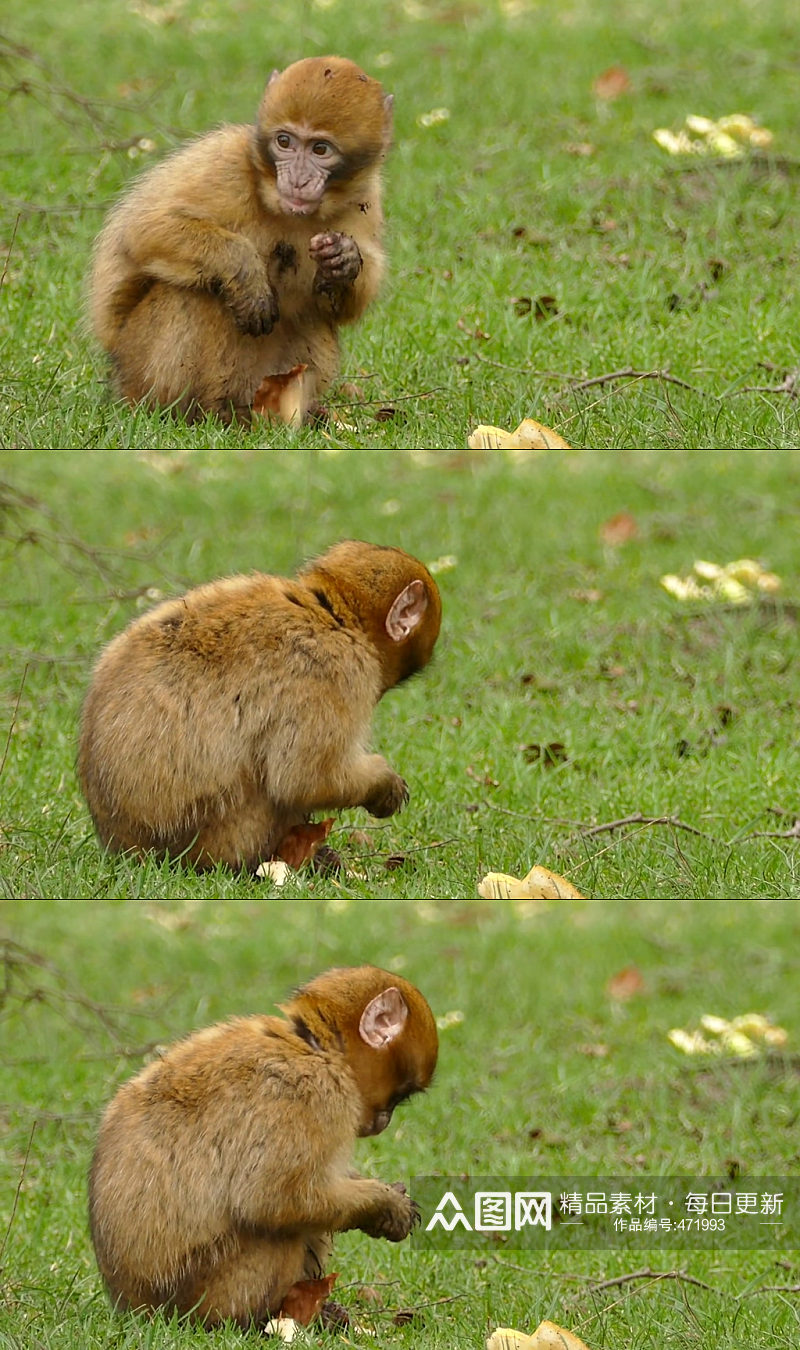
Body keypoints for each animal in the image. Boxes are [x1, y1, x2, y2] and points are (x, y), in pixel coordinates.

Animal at [77, 540, 439, 869]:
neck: (332, 614)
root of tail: (126, 848)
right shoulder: (333, 673)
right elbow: (303, 779)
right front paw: (383, 784)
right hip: (219, 840)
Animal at [88, 55, 393, 423]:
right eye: (285, 142)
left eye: (320, 149)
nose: (298, 179)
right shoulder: (226, 162)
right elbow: (145, 228)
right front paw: (244, 268)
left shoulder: (367, 196)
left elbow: (342, 307)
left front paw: (344, 260)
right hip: (137, 366)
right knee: (190, 293)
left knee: (313, 321)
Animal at [90, 966, 439, 1323]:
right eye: (402, 1094)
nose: (386, 1121)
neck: (314, 1047)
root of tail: (135, 1305)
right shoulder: (310, 1094)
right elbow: (270, 1199)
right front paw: (384, 1205)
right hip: (208, 1292)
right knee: (279, 1230)